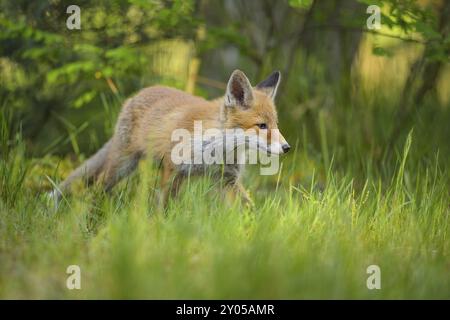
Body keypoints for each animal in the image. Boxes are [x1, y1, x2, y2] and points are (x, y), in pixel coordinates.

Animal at [51, 69, 292, 205]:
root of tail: (135, 96)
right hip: (120, 167)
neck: (214, 149)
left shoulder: (227, 179)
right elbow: (165, 207)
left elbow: (247, 208)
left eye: (276, 125)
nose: (287, 147)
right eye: (262, 126)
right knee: (98, 189)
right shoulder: (173, 170)